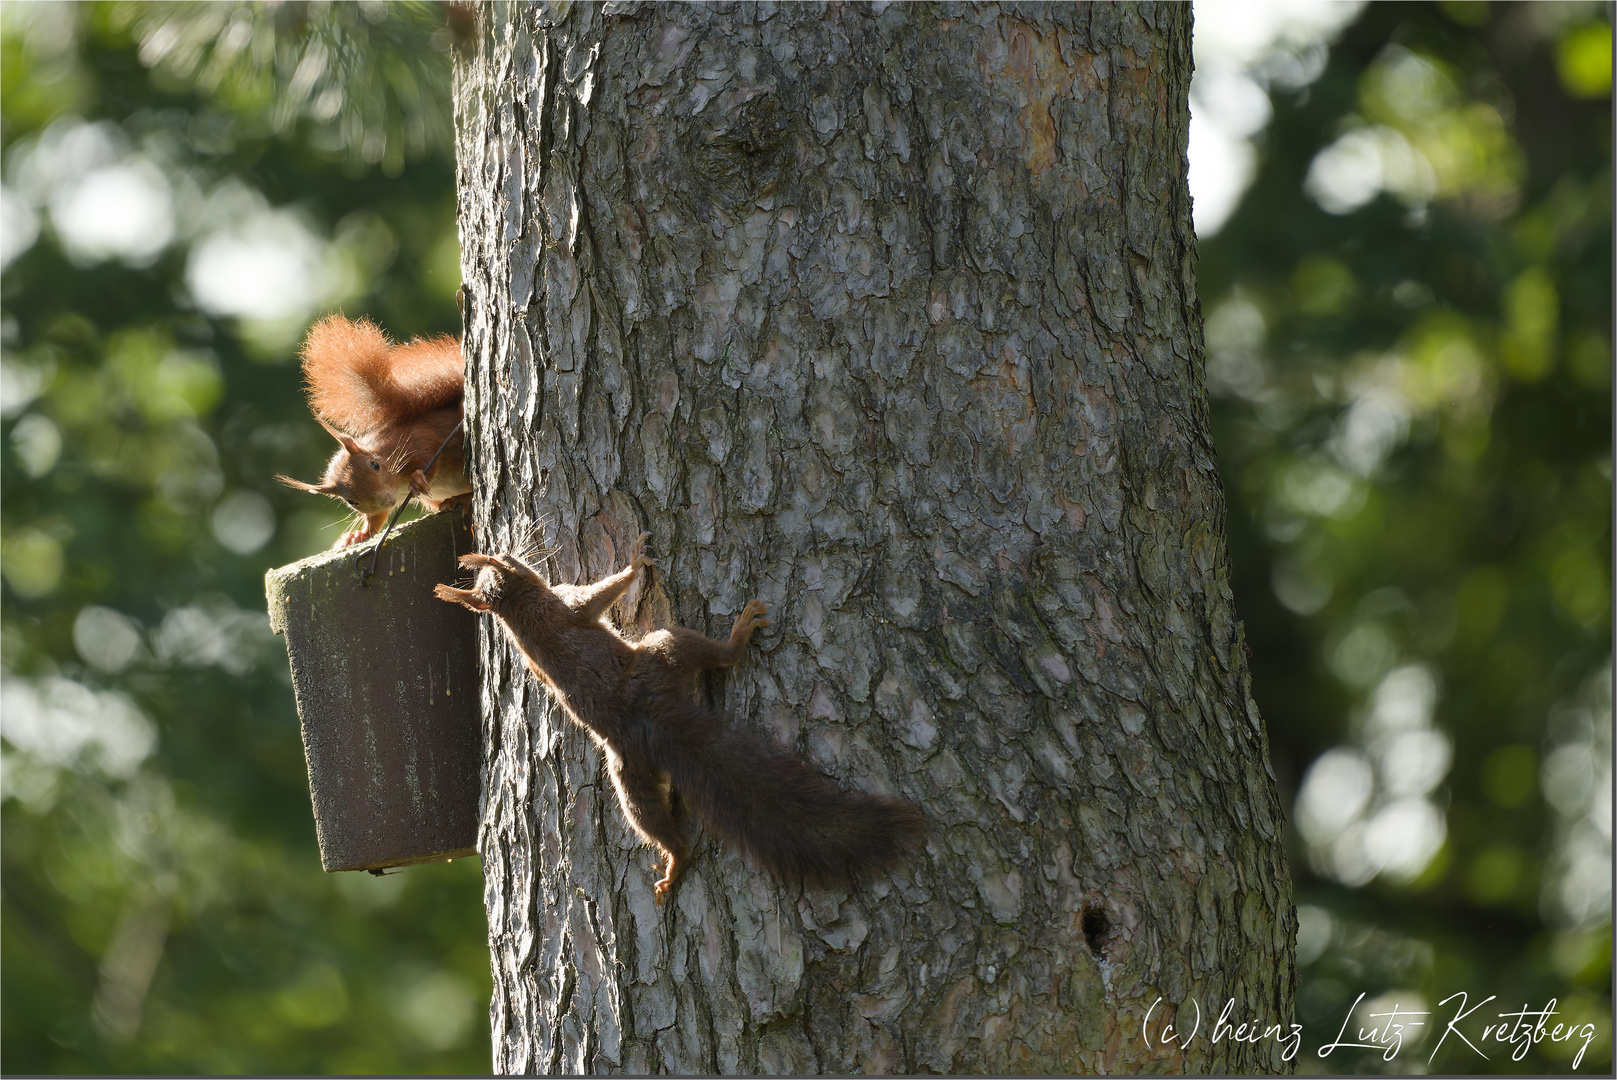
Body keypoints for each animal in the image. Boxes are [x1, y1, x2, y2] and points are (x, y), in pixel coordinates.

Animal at [274, 312, 468, 549]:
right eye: (352, 501)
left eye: (375, 465)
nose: (386, 499)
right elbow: (377, 516)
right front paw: (360, 534)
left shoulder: (417, 436)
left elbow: (428, 452)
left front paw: (418, 479)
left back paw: (462, 498)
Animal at [436, 536, 931, 898]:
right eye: (506, 560)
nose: (512, 547)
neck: (516, 609)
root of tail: (645, 719)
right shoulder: (568, 603)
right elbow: (601, 595)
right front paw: (635, 563)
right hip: (663, 647)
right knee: (709, 656)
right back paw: (736, 638)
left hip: (630, 776)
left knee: (649, 816)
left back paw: (672, 861)